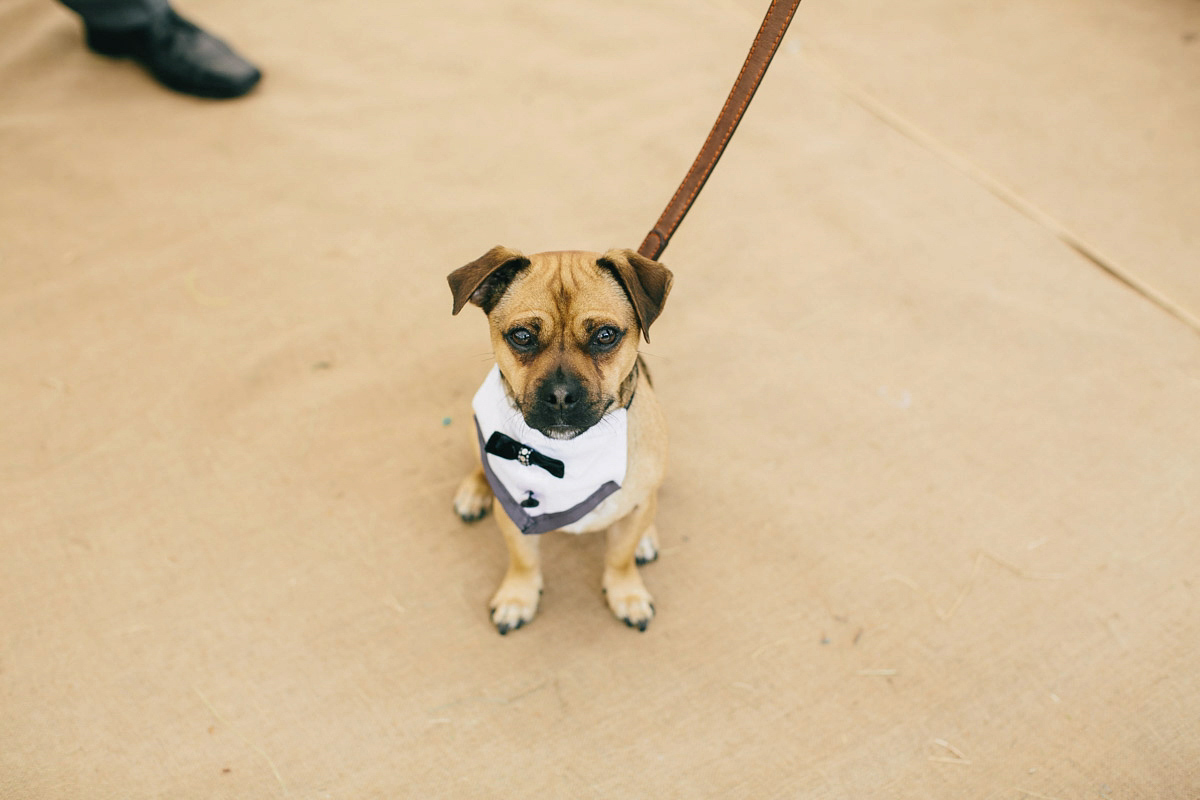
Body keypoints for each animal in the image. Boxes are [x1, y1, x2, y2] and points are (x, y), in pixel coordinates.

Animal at [451, 247, 676, 633]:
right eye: (522, 336)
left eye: (605, 335)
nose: (559, 395)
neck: (566, 455)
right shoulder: (513, 515)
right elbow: (523, 560)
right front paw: (518, 598)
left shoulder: (632, 511)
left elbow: (620, 558)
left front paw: (627, 594)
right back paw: (475, 491)